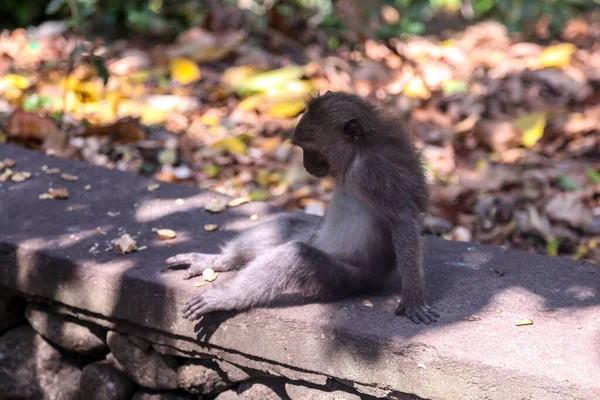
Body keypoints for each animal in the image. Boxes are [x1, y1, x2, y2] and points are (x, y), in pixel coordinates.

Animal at [166, 89, 438, 324]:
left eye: (311, 150)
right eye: (302, 149)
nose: (306, 165)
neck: (357, 155)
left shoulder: (377, 172)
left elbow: (403, 220)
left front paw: (413, 298)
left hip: (344, 279)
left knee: (296, 255)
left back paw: (228, 297)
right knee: (287, 225)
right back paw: (221, 261)